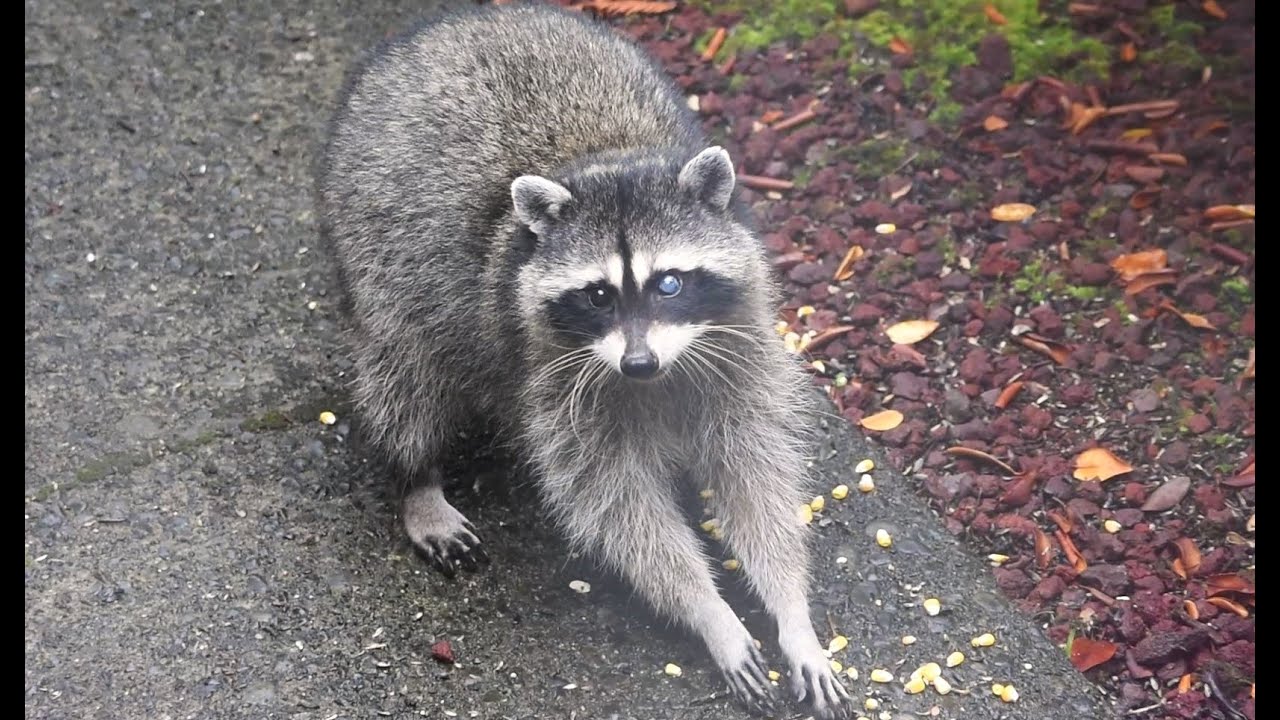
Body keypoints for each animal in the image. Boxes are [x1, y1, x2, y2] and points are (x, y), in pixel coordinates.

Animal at [316, 2, 851, 716]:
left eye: (669, 284)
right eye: (598, 295)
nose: (638, 366)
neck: (602, 159)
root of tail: (460, 22)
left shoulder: (739, 344)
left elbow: (754, 474)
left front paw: (792, 613)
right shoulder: (555, 378)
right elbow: (617, 504)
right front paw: (710, 612)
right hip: (375, 249)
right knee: (406, 371)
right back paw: (416, 476)